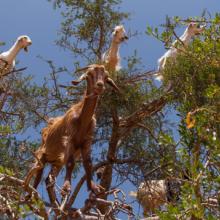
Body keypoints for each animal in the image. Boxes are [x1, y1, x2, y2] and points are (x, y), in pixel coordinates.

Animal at [23, 64, 119, 210]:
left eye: (106, 77)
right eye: (89, 75)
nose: (100, 85)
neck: (81, 119)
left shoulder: (86, 142)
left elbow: (88, 163)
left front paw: (93, 188)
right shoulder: (69, 140)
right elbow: (70, 163)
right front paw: (66, 188)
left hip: (56, 161)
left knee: (48, 178)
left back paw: (55, 202)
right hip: (42, 154)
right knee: (37, 173)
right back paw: (30, 195)